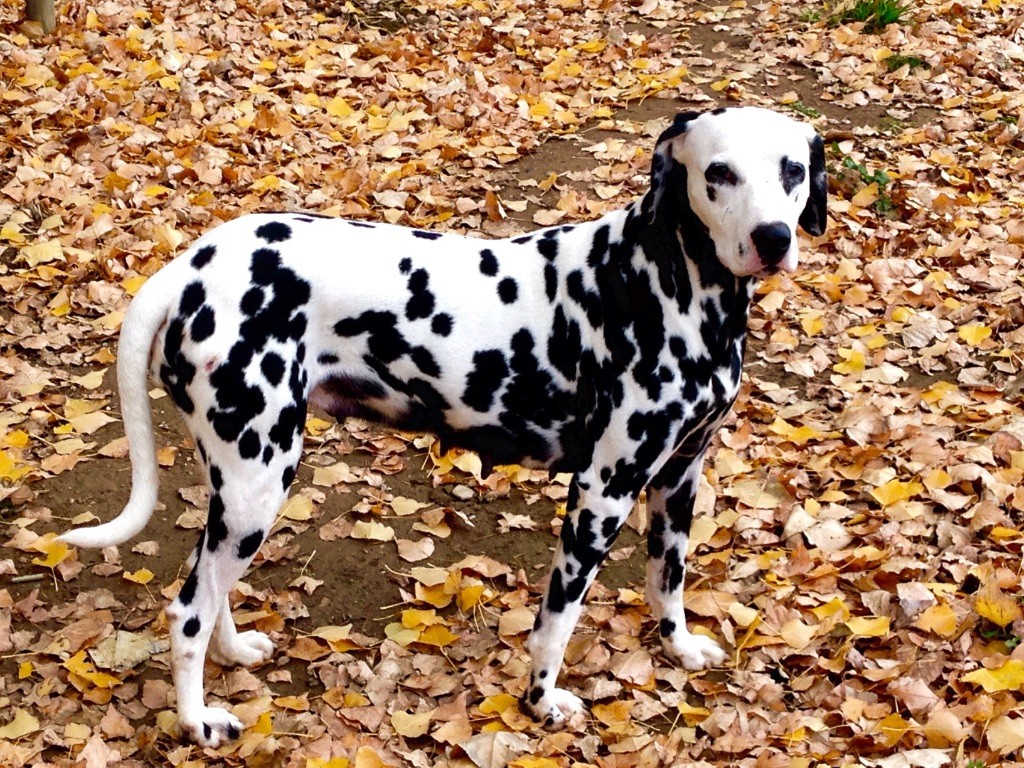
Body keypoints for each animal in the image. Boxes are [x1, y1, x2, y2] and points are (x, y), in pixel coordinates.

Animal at [59, 107, 827, 745]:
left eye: (791, 170)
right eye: (718, 172)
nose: (772, 238)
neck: (663, 278)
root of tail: (191, 266)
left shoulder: (678, 479)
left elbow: (669, 578)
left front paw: (678, 647)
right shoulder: (601, 493)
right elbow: (557, 623)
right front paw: (542, 703)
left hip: (239, 489)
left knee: (209, 587)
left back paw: (234, 650)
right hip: (259, 483)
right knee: (186, 611)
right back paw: (197, 722)